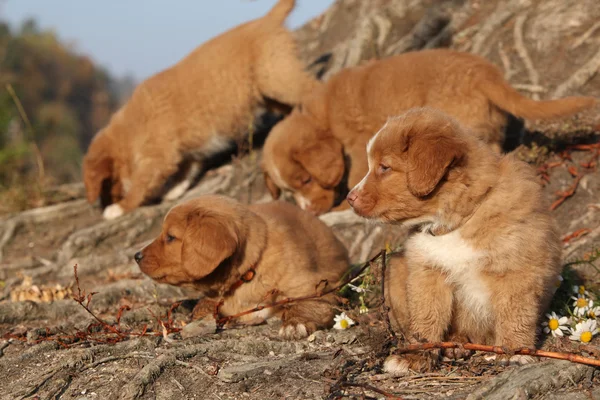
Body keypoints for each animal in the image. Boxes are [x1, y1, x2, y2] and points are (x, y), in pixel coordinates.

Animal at [135, 195, 352, 340]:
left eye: (170, 237)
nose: (136, 256)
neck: (249, 272)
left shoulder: (320, 285)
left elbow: (309, 303)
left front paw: (294, 324)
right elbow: (207, 305)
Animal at [262, 49, 596, 216]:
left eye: (306, 180)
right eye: (289, 192)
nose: (311, 214)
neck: (323, 115)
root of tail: (485, 72)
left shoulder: (356, 145)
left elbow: (357, 171)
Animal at [346, 108, 564, 374]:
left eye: (384, 167)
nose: (349, 198)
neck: (456, 223)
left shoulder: (516, 270)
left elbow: (515, 315)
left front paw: (516, 353)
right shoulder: (427, 271)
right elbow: (426, 318)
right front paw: (416, 355)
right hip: (396, 272)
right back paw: (454, 345)